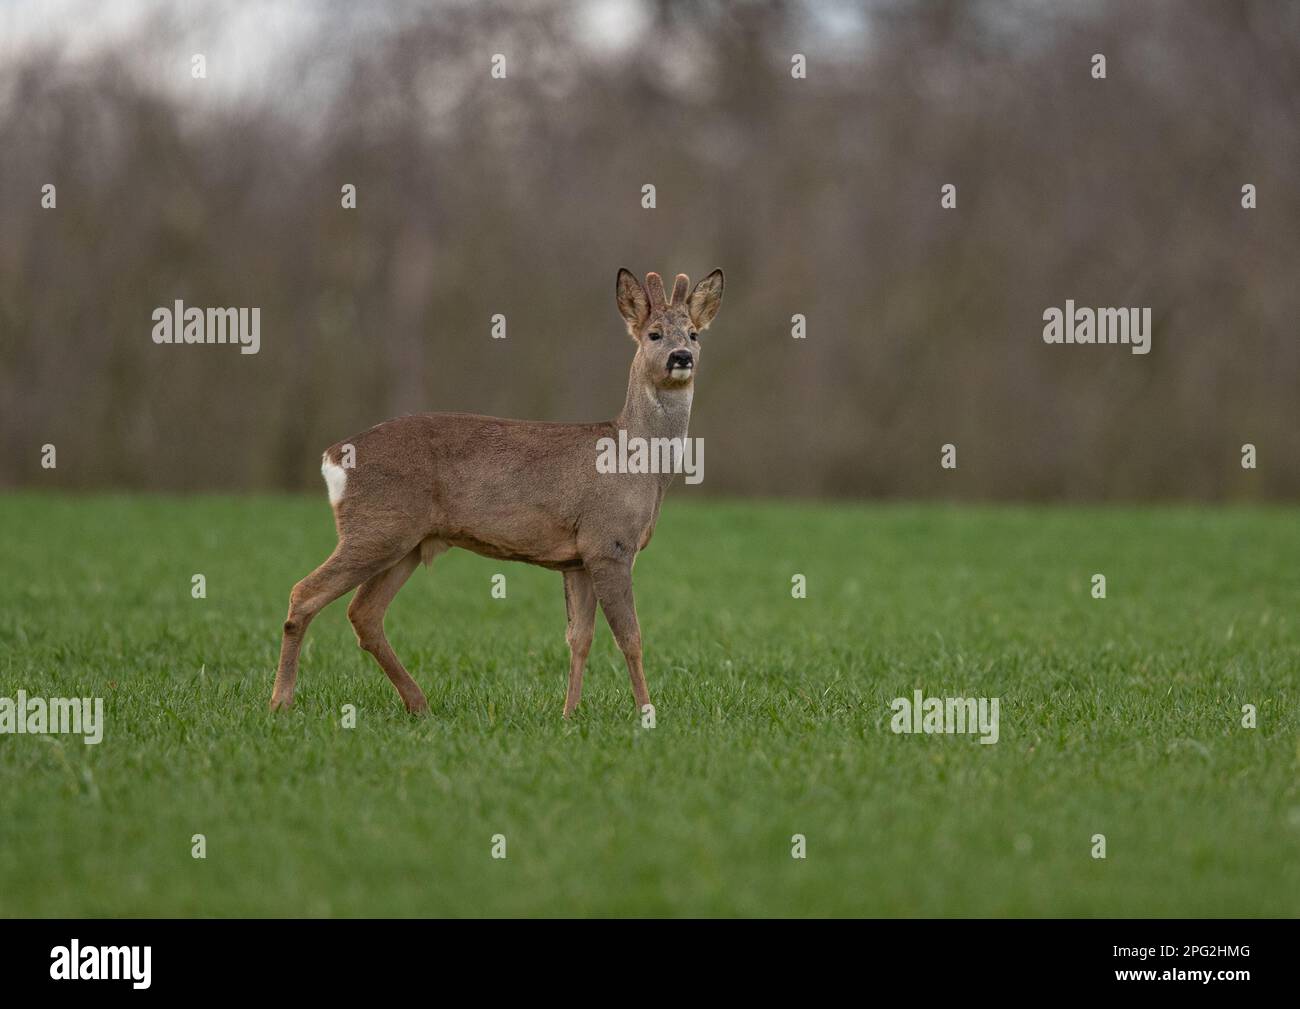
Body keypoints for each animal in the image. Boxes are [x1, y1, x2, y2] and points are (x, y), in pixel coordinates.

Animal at [270, 267, 724, 718]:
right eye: (654, 334)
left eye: (693, 333)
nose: (681, 357)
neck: (638, 462)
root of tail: (333, 456)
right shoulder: (608, 542)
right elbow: (630, 637)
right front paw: (647, 713)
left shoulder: (577, 558)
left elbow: (579, 638)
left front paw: (569, 714)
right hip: (376, 529)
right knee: (304, 594)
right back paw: (281, 701)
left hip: (407, 543)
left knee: (363, 614)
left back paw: (419, 704)